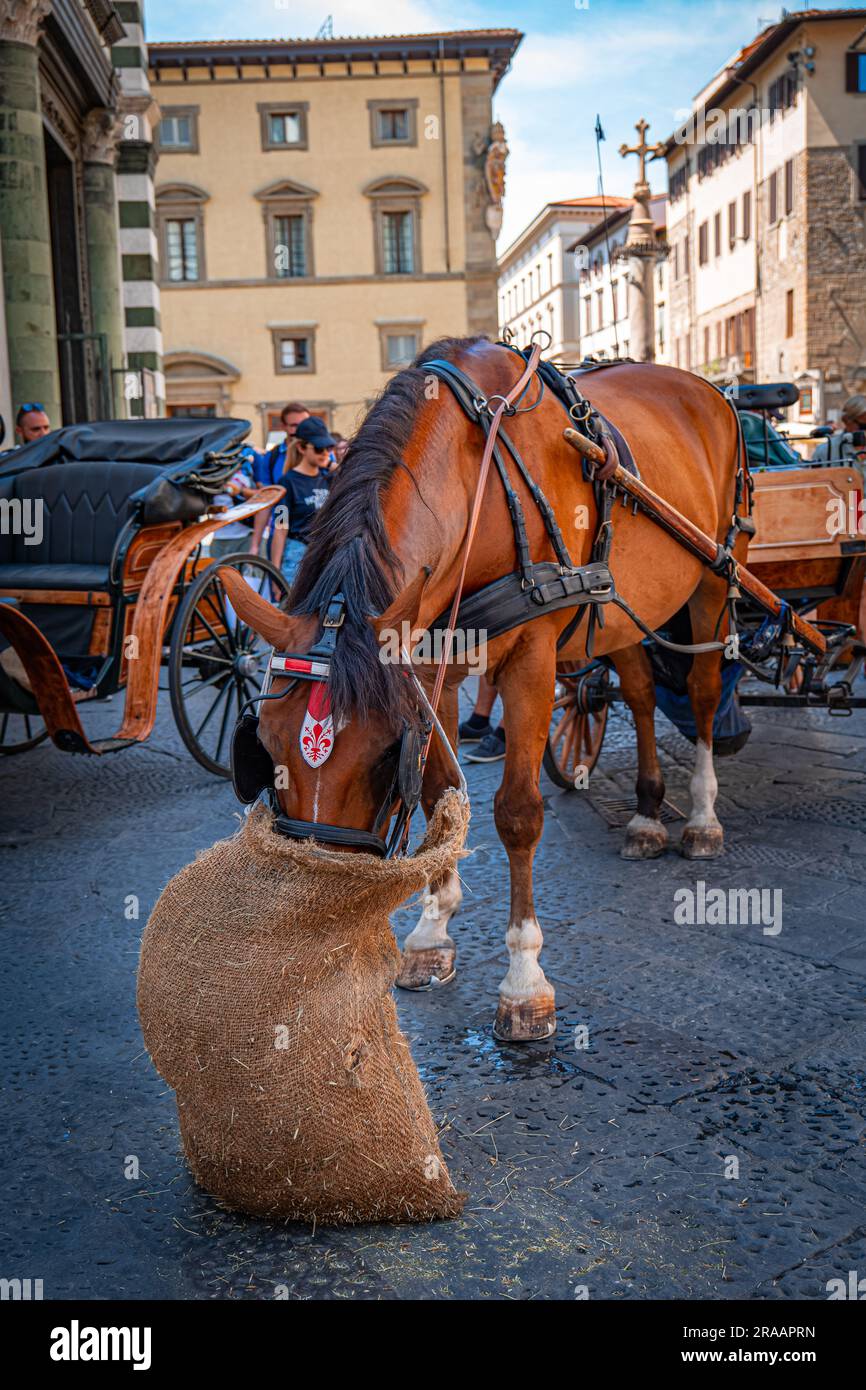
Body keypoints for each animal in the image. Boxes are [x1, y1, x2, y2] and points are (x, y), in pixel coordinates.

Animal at [223, 339, 750, 1045]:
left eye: (382, 754)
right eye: (266, 746)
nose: (319, 913)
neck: (482, 476)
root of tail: (709, 391)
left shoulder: (531, 658)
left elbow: (517, 813)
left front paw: (525, 983)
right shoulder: (429, 662)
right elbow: (440, 798)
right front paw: (430, 934)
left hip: (715, 579)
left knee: (701, 693)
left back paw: (700, 817)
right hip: (621, 607)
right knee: (640, 694)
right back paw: (644, 815)